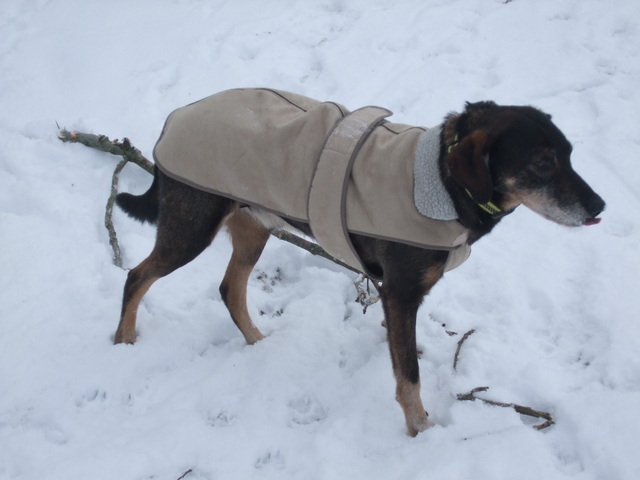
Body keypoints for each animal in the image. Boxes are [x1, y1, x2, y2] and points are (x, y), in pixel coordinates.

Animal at [115, 88, 604, 436]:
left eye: (570, 155)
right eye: (542, 163)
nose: (599, 205)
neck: (444, 182)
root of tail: (176, 117)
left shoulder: (392, 293)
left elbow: (400, 350)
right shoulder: (402, 292)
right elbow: (408, 375)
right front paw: (421, 430)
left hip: (254, 226)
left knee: (229, 288)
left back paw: (258, 342)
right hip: (191, 227)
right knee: (136, 276)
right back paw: (123, 341)